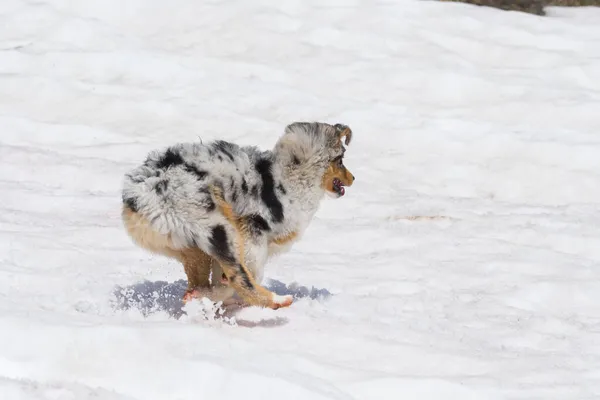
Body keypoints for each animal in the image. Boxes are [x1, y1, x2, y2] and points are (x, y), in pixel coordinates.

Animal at [122, 122, 356, 310]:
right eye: (340, 160)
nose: (353, 178)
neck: (292, 175)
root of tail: (142, 192)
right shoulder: (252, 233)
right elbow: (249, 273)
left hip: (191, 247)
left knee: (199, 283)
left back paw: (199, 298)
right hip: (219, 229)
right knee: (238, 278)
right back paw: (277, 300)